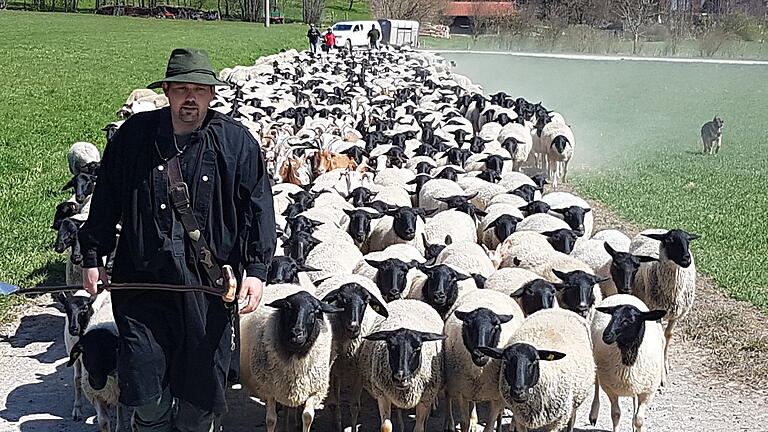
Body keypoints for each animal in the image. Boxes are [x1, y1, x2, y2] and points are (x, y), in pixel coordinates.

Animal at [240, 286, 342, 430]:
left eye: (315, 311)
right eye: (288, 308)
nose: (297, 334)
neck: (295, 355)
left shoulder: (314, 390)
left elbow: (307, 416)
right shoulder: (269, 389)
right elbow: (271, 420)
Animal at [440, 288, 524, 432]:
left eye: (496, 326)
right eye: (467, 324)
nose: (480, 354)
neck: (479, 372)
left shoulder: (497, 398)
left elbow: (489, 426)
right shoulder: (462, 392)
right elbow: (464, 422)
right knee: (449, 396)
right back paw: (450, 423)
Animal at [588, 294, 664, 432]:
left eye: (631, 320)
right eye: (612, 316)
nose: (606, 335)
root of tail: (622, 294)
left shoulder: (647, 391)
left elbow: (639, 419)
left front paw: (636, 425)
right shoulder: (610, 389)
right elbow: (616, 414)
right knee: (596, 385)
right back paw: (593, 414)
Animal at [632, 230, 704, 374]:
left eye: (688, 240)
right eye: (669, 240)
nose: (687, 259)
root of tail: (655, 229)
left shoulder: (676, 315)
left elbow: (668, 335)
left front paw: (665, 364)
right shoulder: (655, 311)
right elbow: (661, 338)